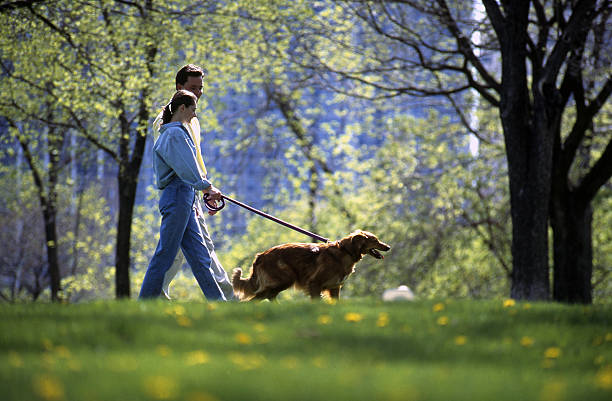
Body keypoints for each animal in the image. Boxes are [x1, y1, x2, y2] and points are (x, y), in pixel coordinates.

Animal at [232, 228, 390, 300]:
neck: (345, 251)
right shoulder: (315, 284)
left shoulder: (335, 288)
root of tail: (260, 256)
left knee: (267, 297)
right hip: (284, 279)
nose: (388, 247)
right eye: (375, 240)